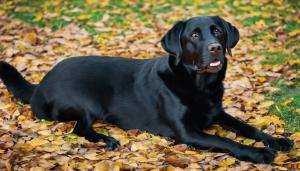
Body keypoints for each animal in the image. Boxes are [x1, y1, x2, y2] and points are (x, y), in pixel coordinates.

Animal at [0, 16, 292, 163]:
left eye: (218, 31)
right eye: (194, 35)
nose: (215, 48)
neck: (199, 85)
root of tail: (40, 85)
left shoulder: (217, 112)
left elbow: (247, 127)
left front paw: (276, 140)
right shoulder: (187, 133)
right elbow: (227, 141)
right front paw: (259, 153)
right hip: (83, 103)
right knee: (79, 129)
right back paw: (106, 139)